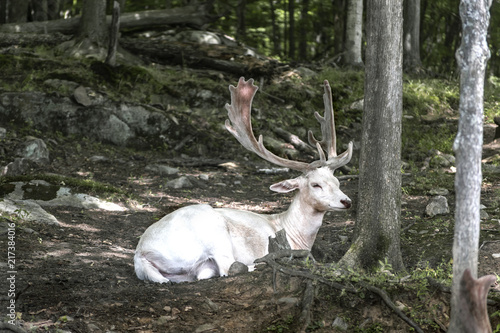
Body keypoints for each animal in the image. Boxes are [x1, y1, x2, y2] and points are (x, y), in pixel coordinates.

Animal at [133, 78, 352, 282]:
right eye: (316, 184)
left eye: (338, 182)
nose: (347, 201)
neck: (292, 233)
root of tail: (140, 254)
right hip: (214, 234)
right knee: (231, 267)